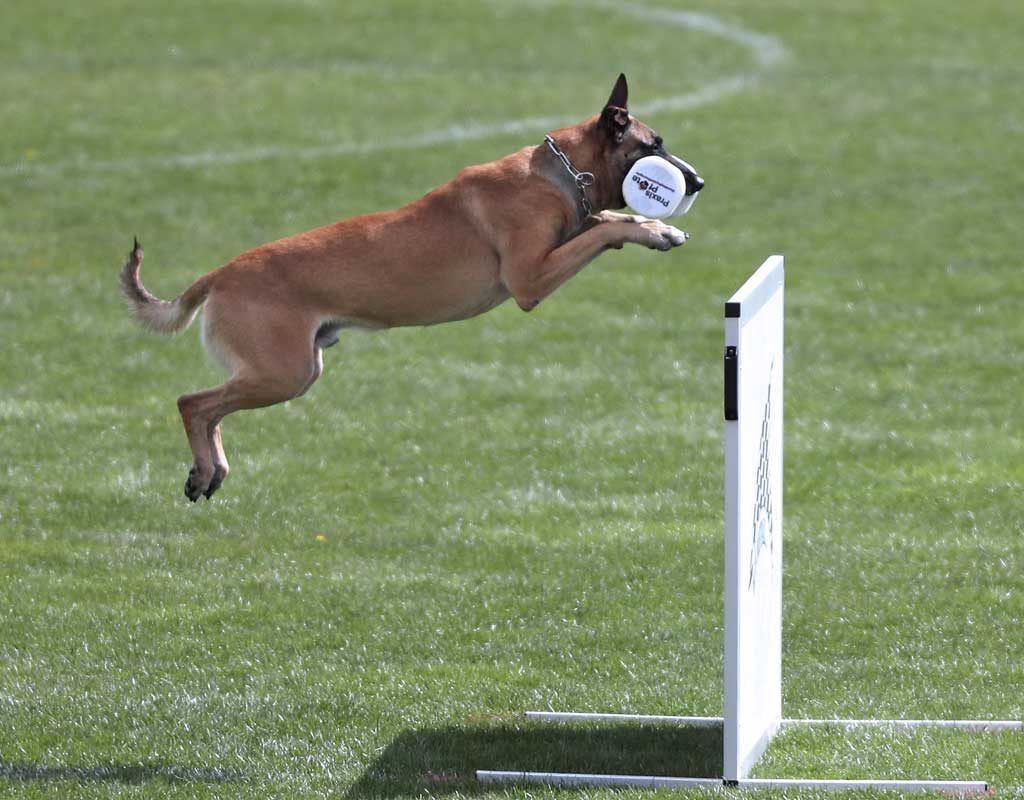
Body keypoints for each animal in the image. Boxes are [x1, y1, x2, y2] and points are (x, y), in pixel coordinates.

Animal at [121, 74, 704, 499]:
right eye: (653, 146)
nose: (696, 182)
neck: (558, 174)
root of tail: (219, 274)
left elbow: (605, 218)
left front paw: (648, 225)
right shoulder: (531, 279)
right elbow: (607, 225)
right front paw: (656, 230)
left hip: (289, 372)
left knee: (208, 409)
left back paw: (210, 470)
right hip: (282, 373)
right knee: (192, 403)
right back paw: (204, 467)